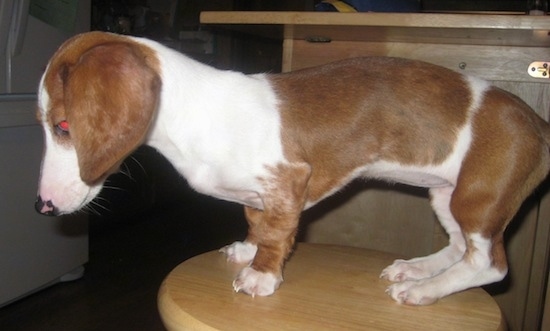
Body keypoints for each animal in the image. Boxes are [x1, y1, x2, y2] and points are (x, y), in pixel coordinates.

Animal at [35, 31, 550, 306]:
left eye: (64, 125)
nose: (42, 207)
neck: (196, 112)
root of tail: (538, 124)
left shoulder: (289, 180)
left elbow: (279, 233)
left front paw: (262, 274)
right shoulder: (257, 194)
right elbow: (258, 222)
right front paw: (248, 248)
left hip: (478, 198)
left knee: (488, 263)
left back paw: (428, 290)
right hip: (446, 195)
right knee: (460, 247)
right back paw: (418, 271)